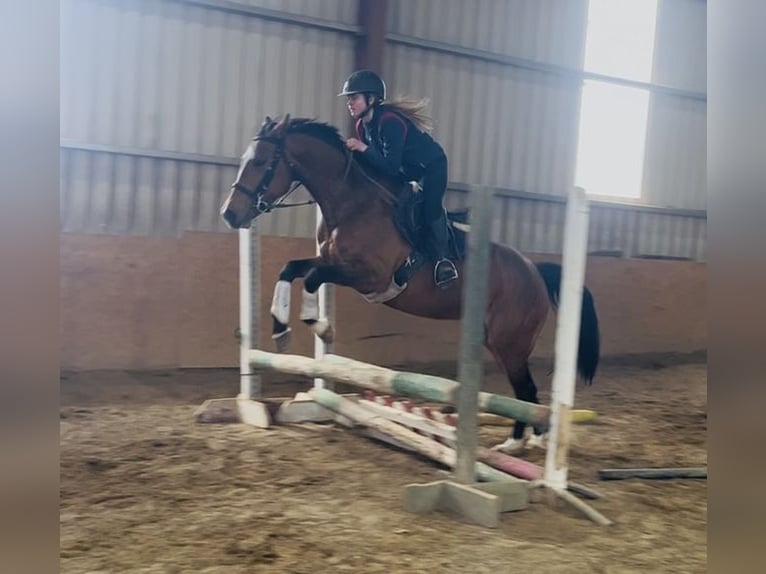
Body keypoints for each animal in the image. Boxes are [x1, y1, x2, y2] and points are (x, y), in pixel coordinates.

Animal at [220, 114, 600, 452]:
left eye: (260, 162)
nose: (230, 214)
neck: (352, 203)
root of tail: (534, 270)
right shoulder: (332, 263)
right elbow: (290, 269)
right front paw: (281, 329)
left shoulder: (369, 277)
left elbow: (312, 278)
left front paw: (320, 326)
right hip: (498, 340)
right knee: (525, 392)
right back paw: (528, 440)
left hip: (509, 342)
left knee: (526, 390)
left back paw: (521, 443)